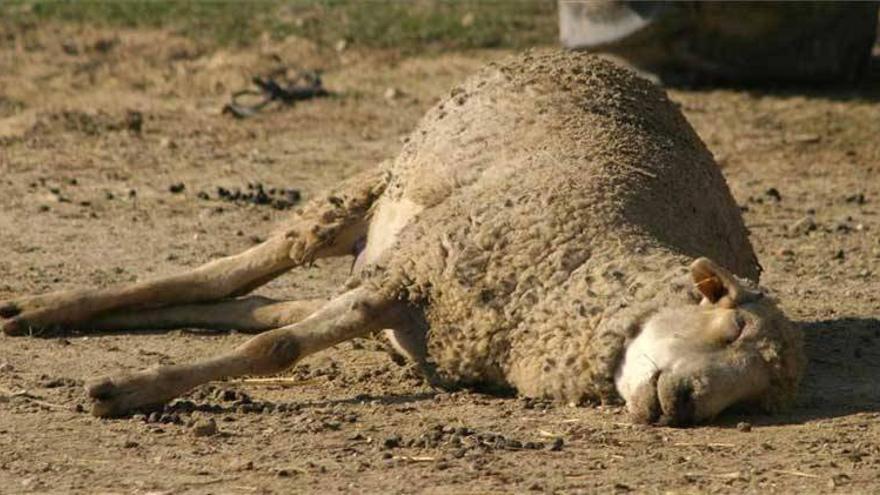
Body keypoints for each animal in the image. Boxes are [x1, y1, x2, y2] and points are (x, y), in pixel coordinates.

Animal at [0, 52, 804, 428]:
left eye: (761, 395)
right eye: (732, 326)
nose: (690, 402)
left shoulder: (420, 296)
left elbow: (274, 335)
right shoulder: (414, 272)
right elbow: (274, 350)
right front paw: (125, 390)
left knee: (255, 301)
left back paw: (44, 315)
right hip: (368, 193)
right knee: (229, 274)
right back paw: (46, 309)